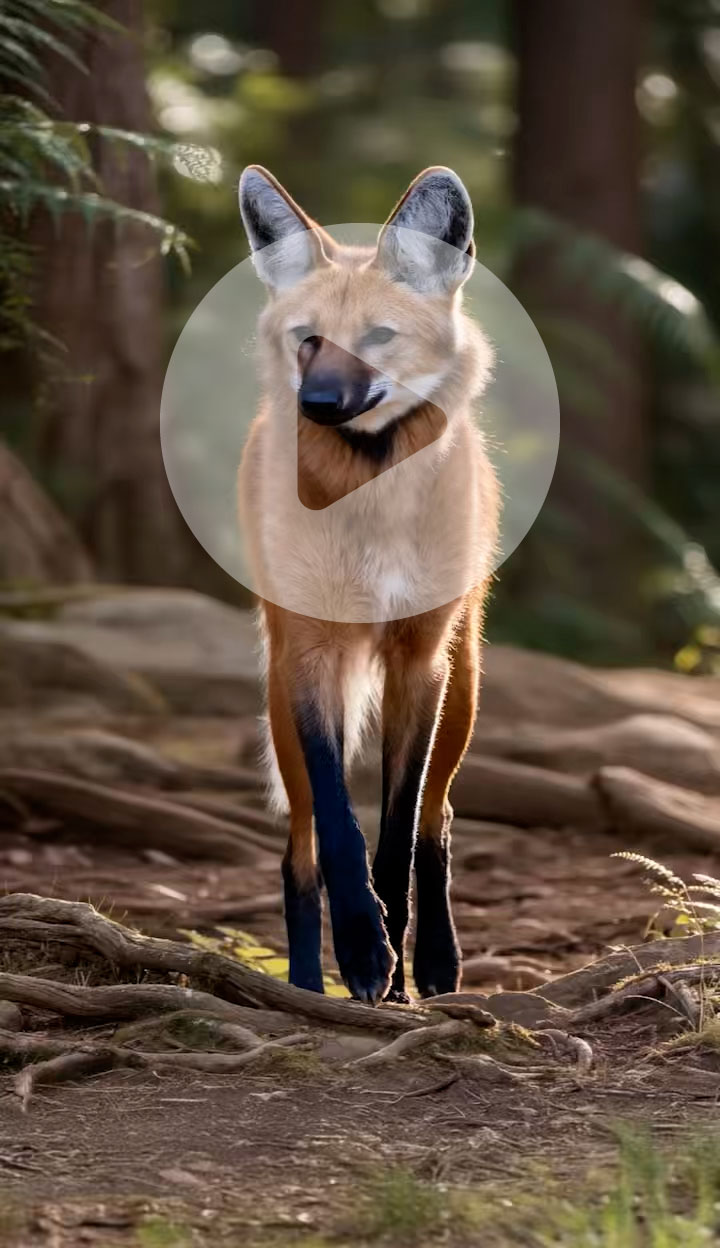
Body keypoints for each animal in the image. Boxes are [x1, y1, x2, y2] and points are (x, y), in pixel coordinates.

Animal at [237, 165, 499, 1004]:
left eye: (379, 338)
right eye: (307, 340)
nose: (317, 403)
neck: (370, 502)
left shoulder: (418, 663)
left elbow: (396, 831)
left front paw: (396, 971)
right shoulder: (310, 657)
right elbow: (341, 834)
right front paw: (359, 949)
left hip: (463, 687)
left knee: (436, 823)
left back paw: (438, 966)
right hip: (278, 698)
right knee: (298, 852)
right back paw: (302, 987)